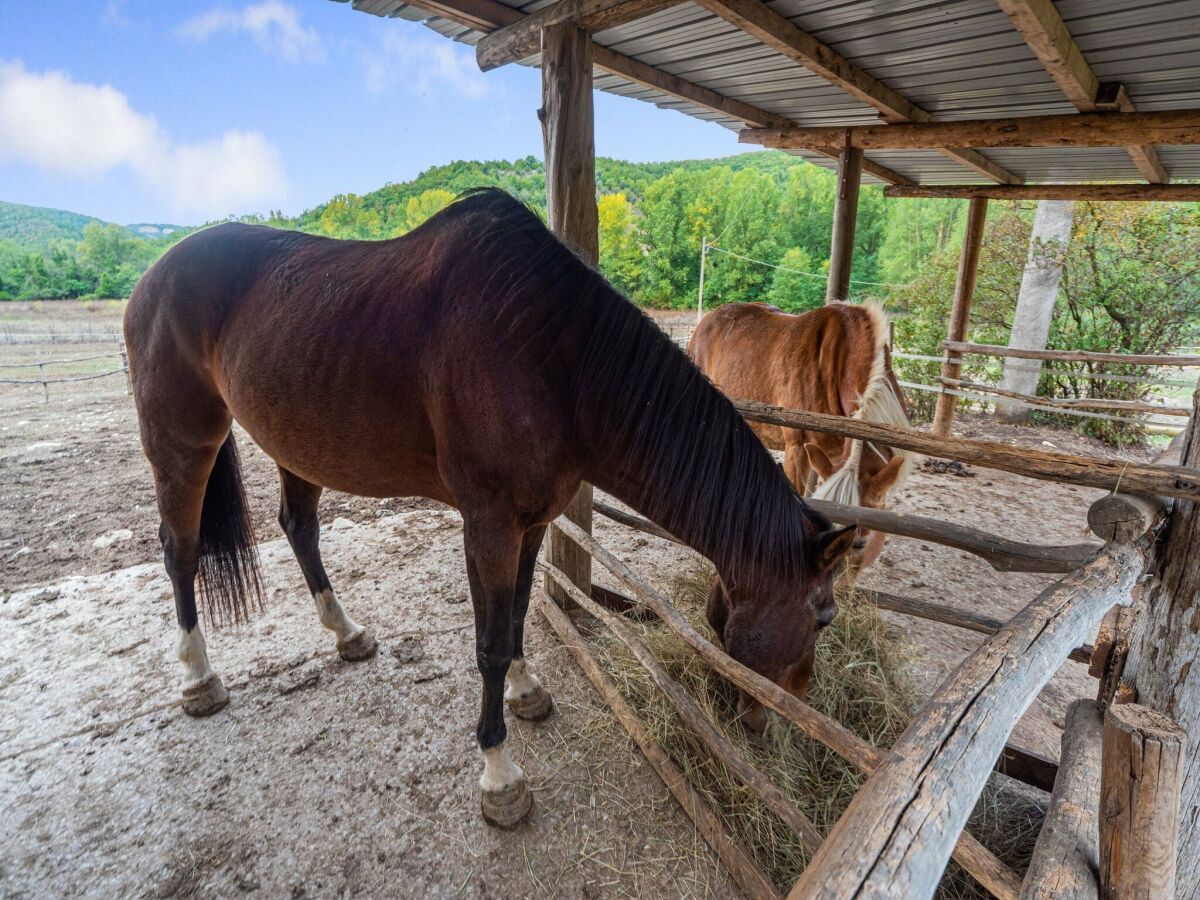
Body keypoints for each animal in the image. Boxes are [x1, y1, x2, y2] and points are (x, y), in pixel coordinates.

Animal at [124, 192, 854, 830]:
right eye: (823, 615)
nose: (780, 723)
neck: (556, 361)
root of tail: (153, 275)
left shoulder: (530, 525)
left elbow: (520, 615)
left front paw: (527, 693)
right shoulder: (490, 527)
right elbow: (490, 644)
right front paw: (500, 777)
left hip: (297, 444)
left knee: (298, 528)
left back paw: (347, 632)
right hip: (184, 441)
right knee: (179, 548)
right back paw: (199, 677)